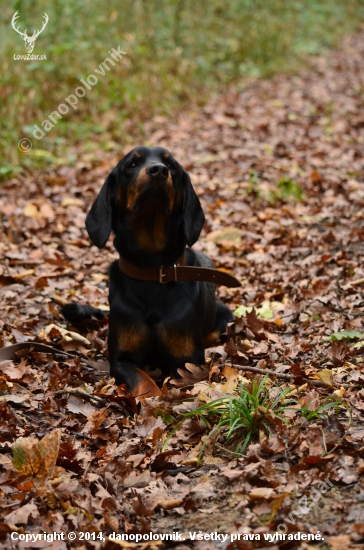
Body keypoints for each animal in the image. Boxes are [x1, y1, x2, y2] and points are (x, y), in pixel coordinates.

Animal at [62, 146, 240, 396]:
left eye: (172, 166)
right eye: (132, 164)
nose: (159, 170)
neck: (152, 270)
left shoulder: (188, 360)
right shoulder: (121, 359)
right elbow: (143, 381)